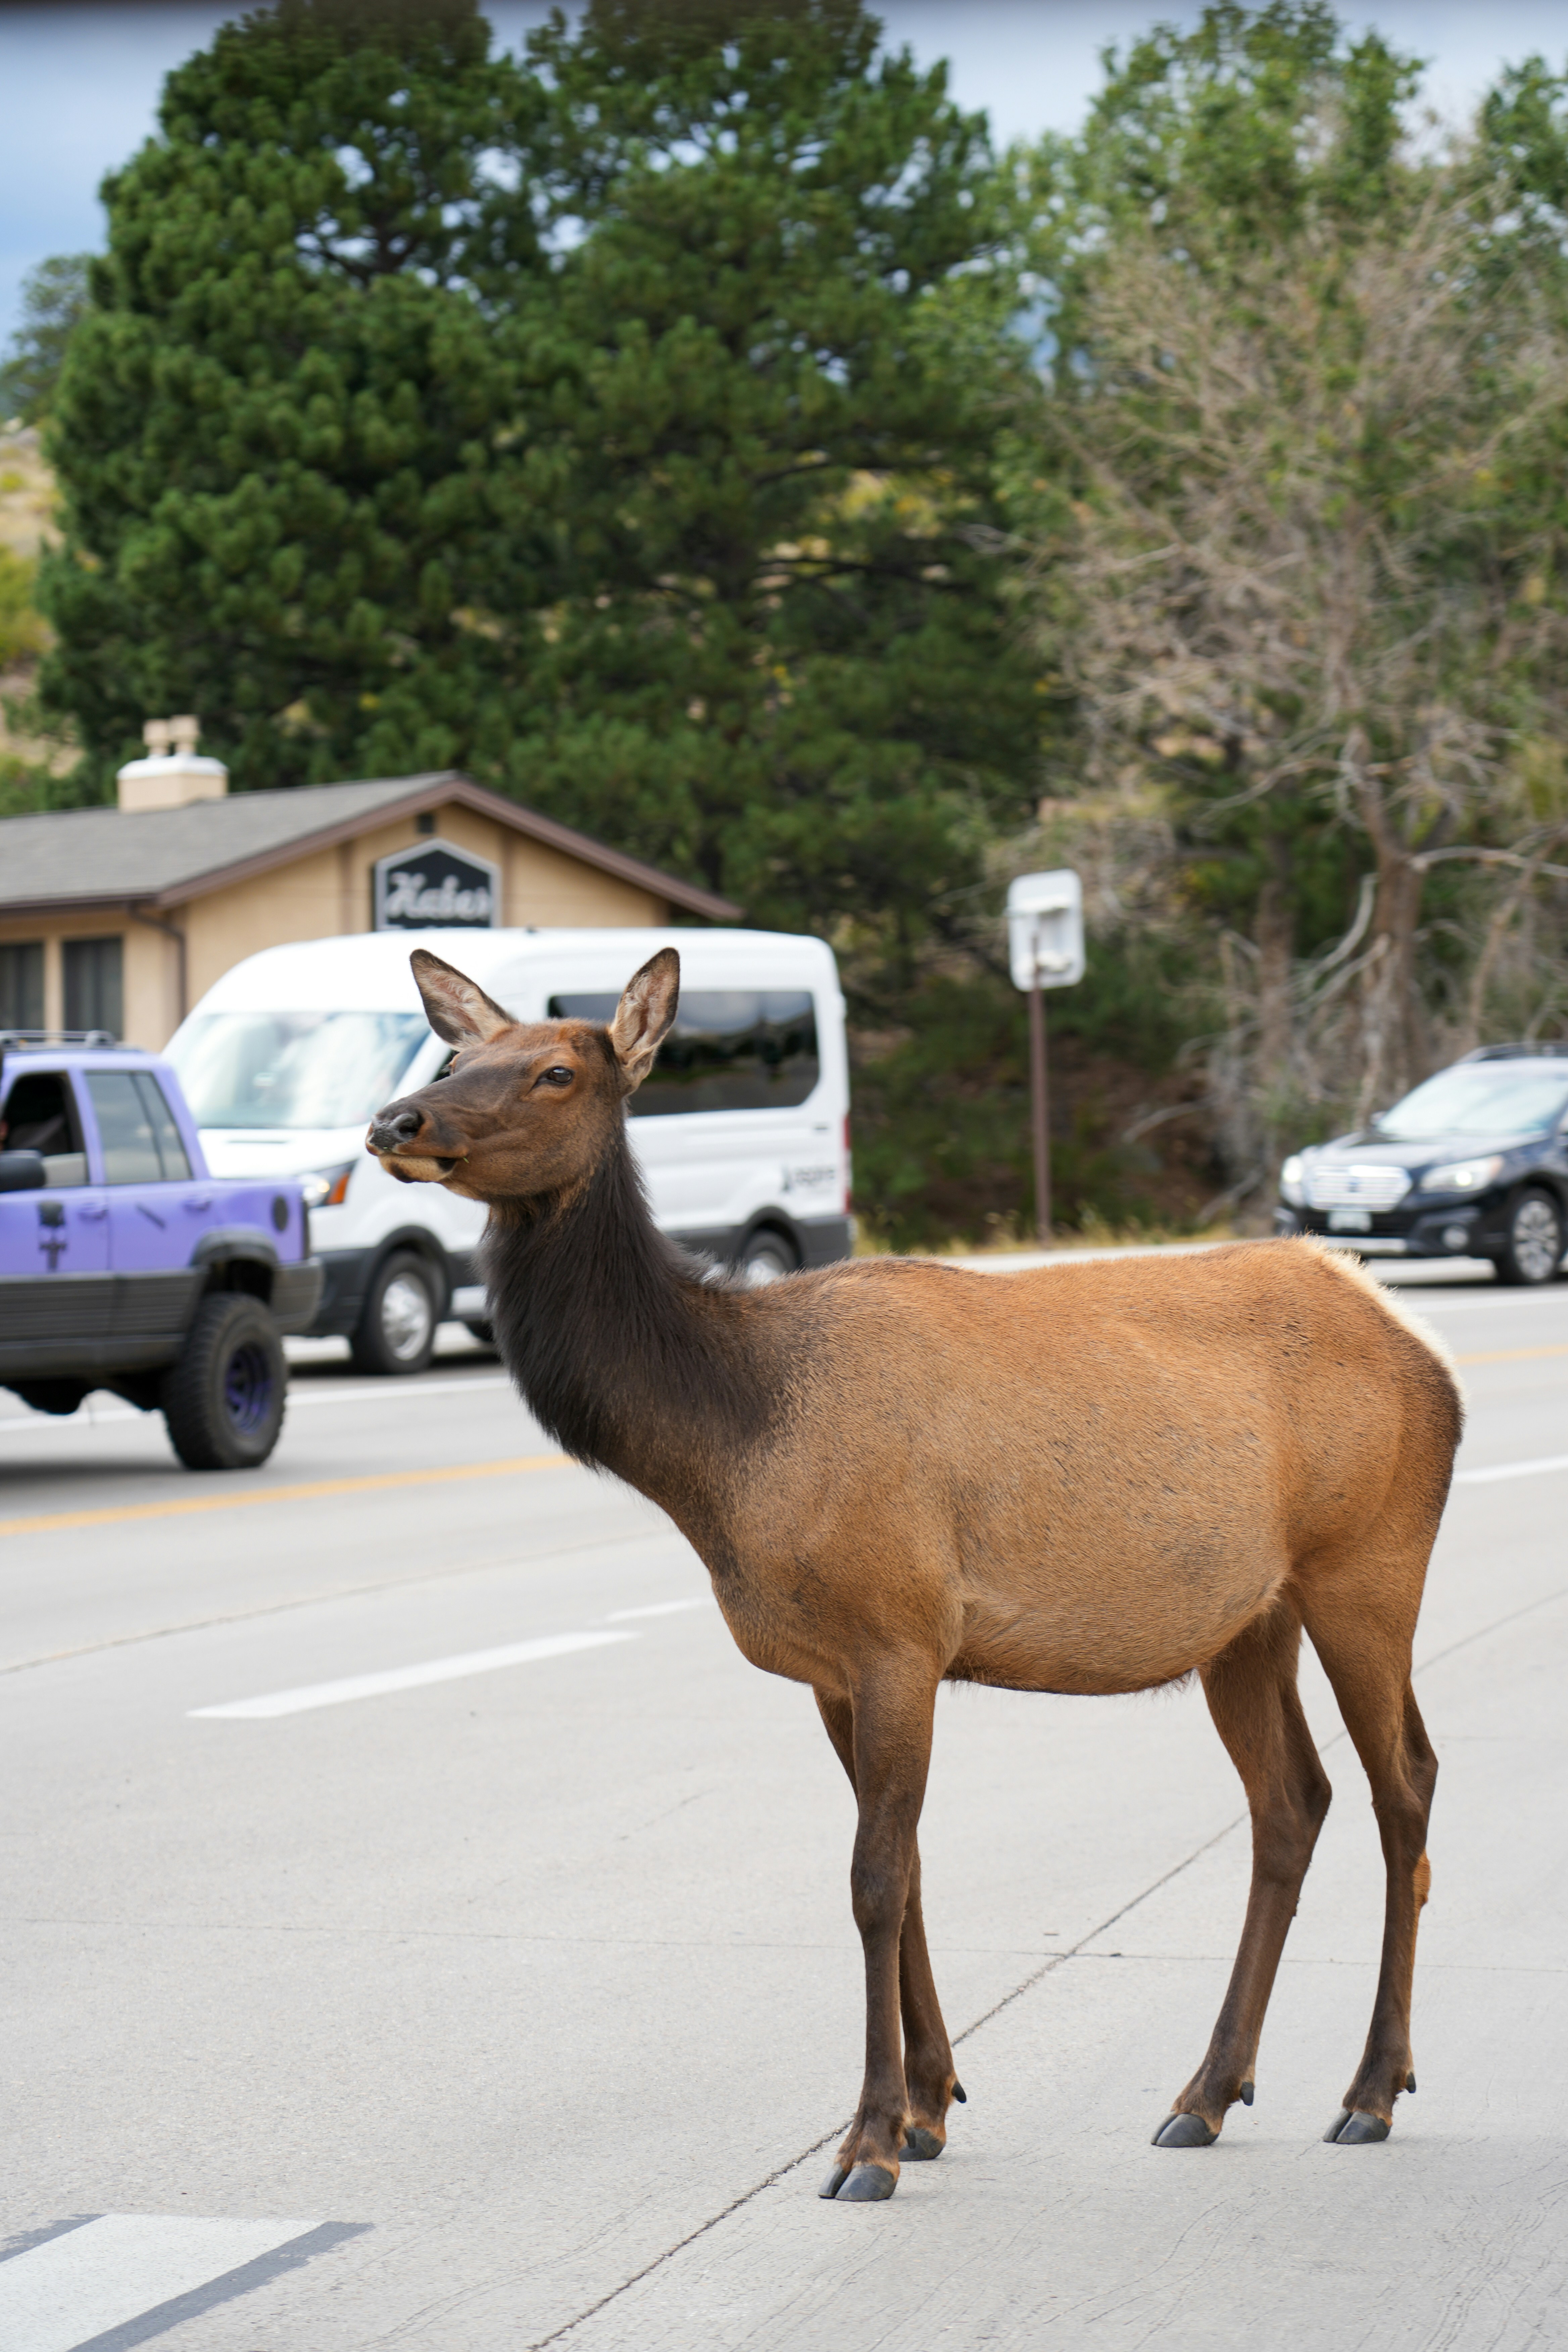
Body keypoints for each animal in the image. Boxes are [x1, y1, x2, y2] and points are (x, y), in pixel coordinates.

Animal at [366, 945, 1461, 2203]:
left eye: (554, 1069)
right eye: (460, 1052)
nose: (394, 1120)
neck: (727, 1439)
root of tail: (1425, 1346)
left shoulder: (899, 1630)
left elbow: (873, 1878)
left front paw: (870, 2141)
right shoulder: (833, 1667)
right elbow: (914, 1867)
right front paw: (935, 2104)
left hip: (1368, 1560)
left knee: (1405, 1782)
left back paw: (1372, 2088)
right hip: (1246, 1615)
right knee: (1292, 1799)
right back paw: (1207, 2091)